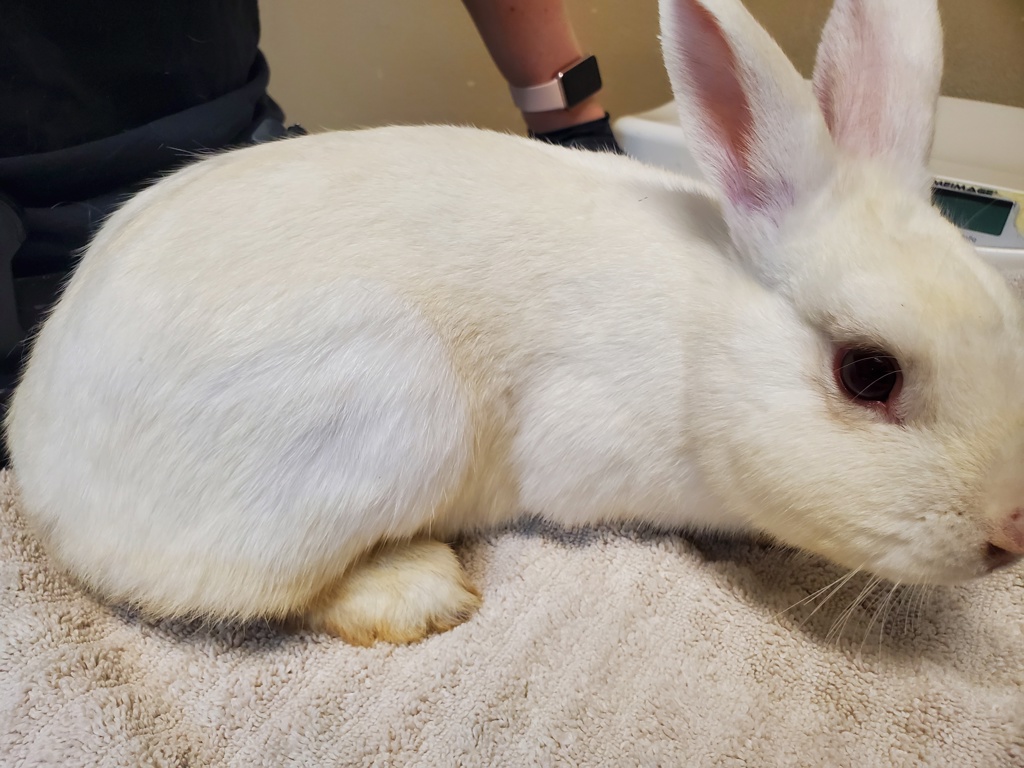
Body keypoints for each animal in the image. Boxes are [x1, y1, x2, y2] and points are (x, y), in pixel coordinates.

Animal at [6, 0, 1024, 647]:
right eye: (867, 373)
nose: (1012, 534)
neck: (706, 343)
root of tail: (40, 455)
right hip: (386, 409)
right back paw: (417, 593)